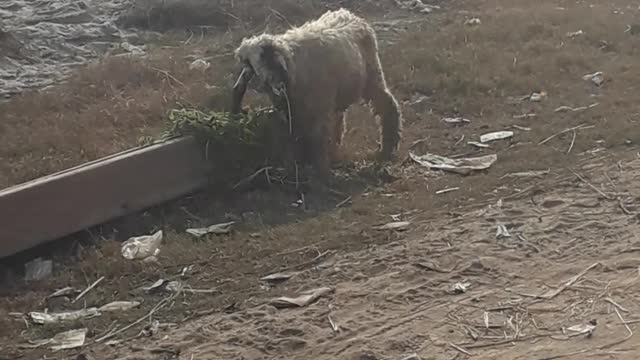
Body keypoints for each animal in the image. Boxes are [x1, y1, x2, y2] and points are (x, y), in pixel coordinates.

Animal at [229, 8, 400, 177]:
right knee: (338, 120)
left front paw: (319, 171)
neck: (291, 65)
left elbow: (318, 138)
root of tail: (349, 13)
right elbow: (295, 136)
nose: (271, 84)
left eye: (264, 57)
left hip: (372, 76)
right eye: (253, 62)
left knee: (387, 106)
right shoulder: (292, 110)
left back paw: (387, 148)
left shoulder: (317, 109)